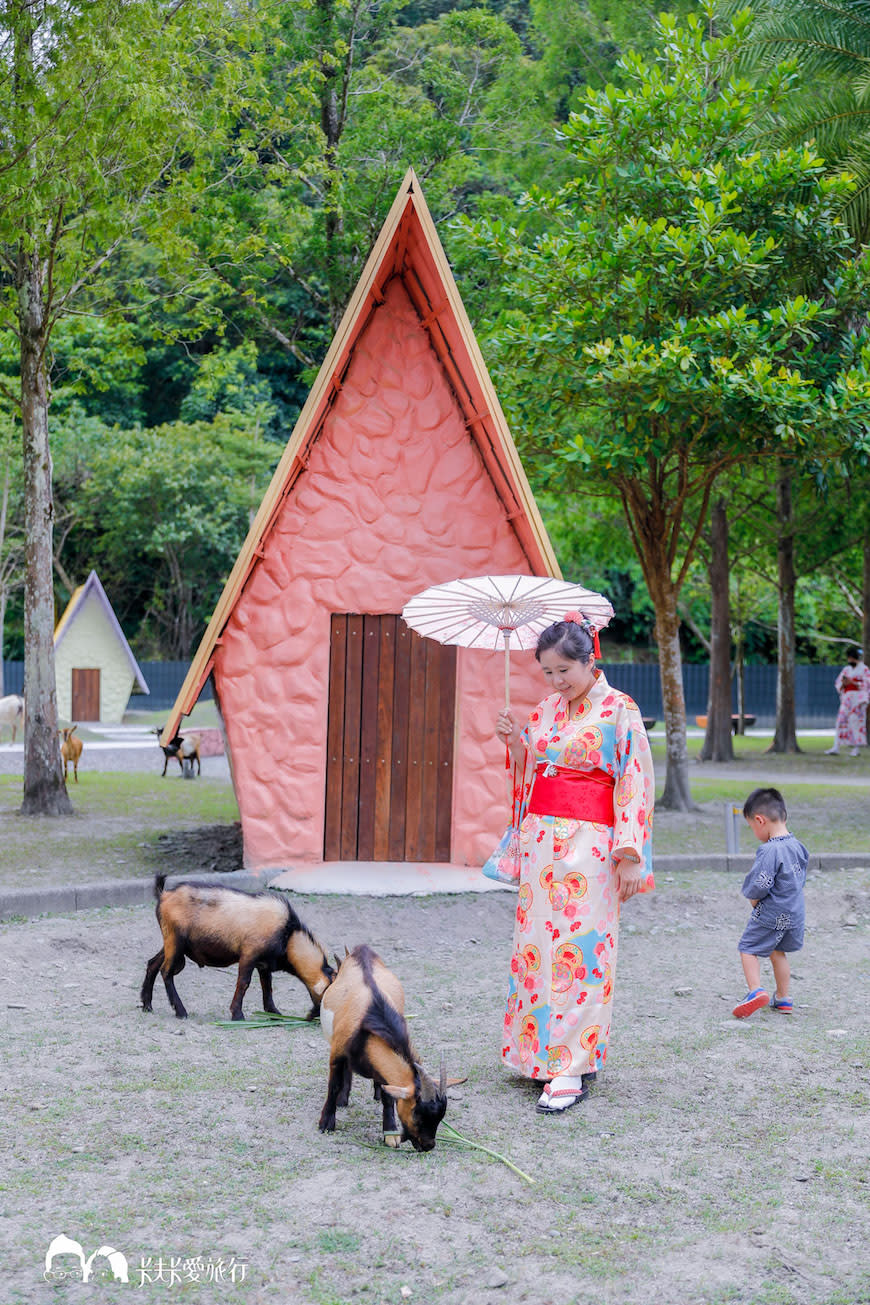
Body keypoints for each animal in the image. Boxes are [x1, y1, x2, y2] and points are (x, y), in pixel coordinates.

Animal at [141, 876, 336, 1017]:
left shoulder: (264, 964)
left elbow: (267, 986)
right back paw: (180, 1011)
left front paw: (274, 1012)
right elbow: (244, 983)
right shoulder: (249, 954)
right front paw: (237, 1014)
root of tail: (164, 895)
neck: (288, 934)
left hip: (172, 943)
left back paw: (147, 1004)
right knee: (166, 971)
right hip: (175, 941)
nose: (317, 1017)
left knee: (153, 964)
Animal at [316, 944, 459, 1148]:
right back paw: (343, 1100)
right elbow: (333, 1085)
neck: (373, 1013)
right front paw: (326, 1123)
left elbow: (388, 1096)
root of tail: (359, 951)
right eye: (418, 1114)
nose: (428, 1146)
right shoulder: (337, 1053)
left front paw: (390, 1133)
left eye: (440, 1118)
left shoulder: (382, 1067)